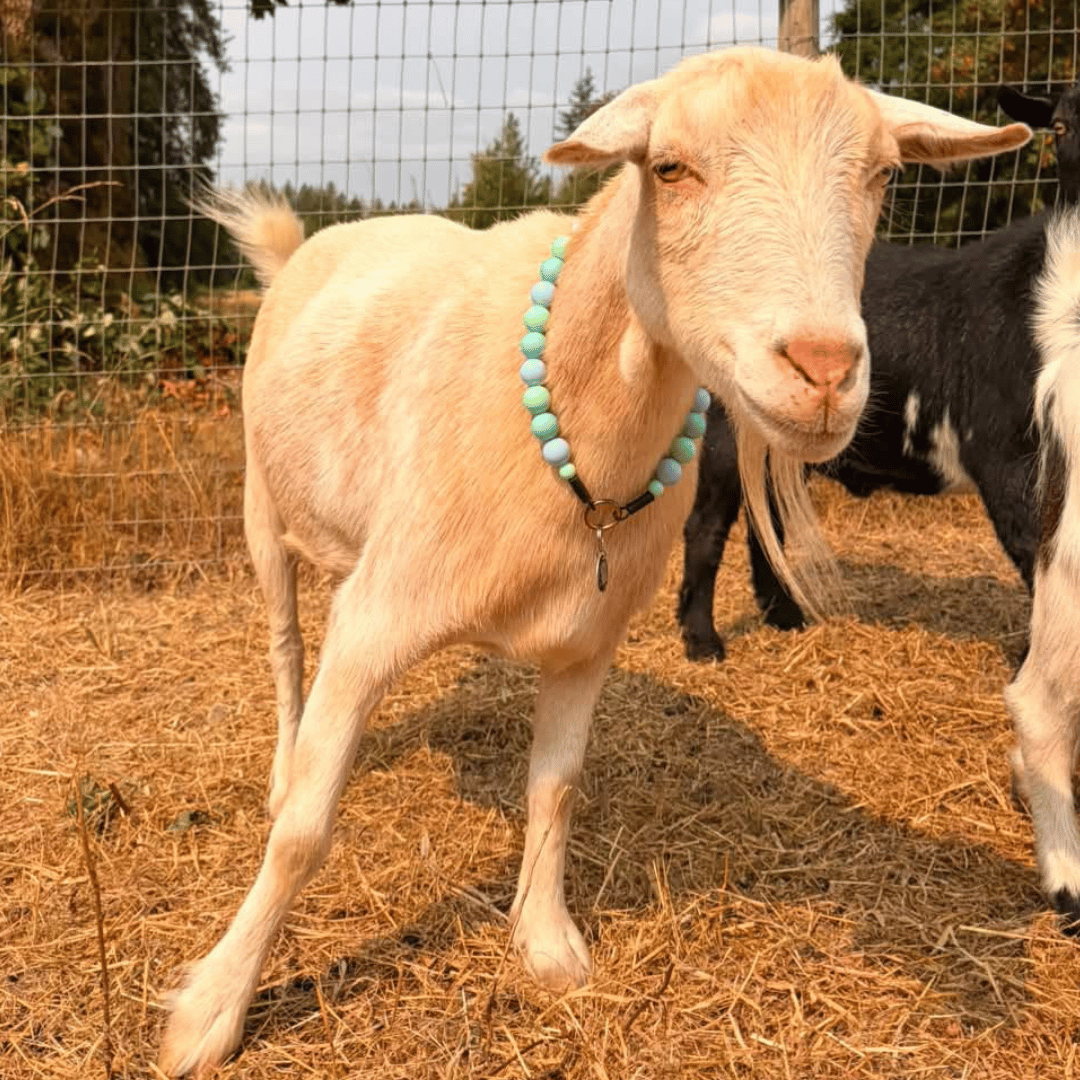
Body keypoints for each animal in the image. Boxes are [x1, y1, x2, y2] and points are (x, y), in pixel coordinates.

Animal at [158, 48, 1029, 1076]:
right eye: (670, 169)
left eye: (886, 175)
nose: (822, 370)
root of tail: (308, 246)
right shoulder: (381, 614)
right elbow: (303, 833)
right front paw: (211, 1008)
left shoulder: (588, 638)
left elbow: (557, 787)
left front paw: (545, 942)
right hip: (262, 505)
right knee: (288, 647)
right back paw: (284, 758)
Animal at [678, 81, 1080, 662]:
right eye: (1062, 127)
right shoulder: (1005, 453)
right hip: (726, 425)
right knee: (708, 526)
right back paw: (702, 641)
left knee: (767, 516)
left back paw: (787, 618)